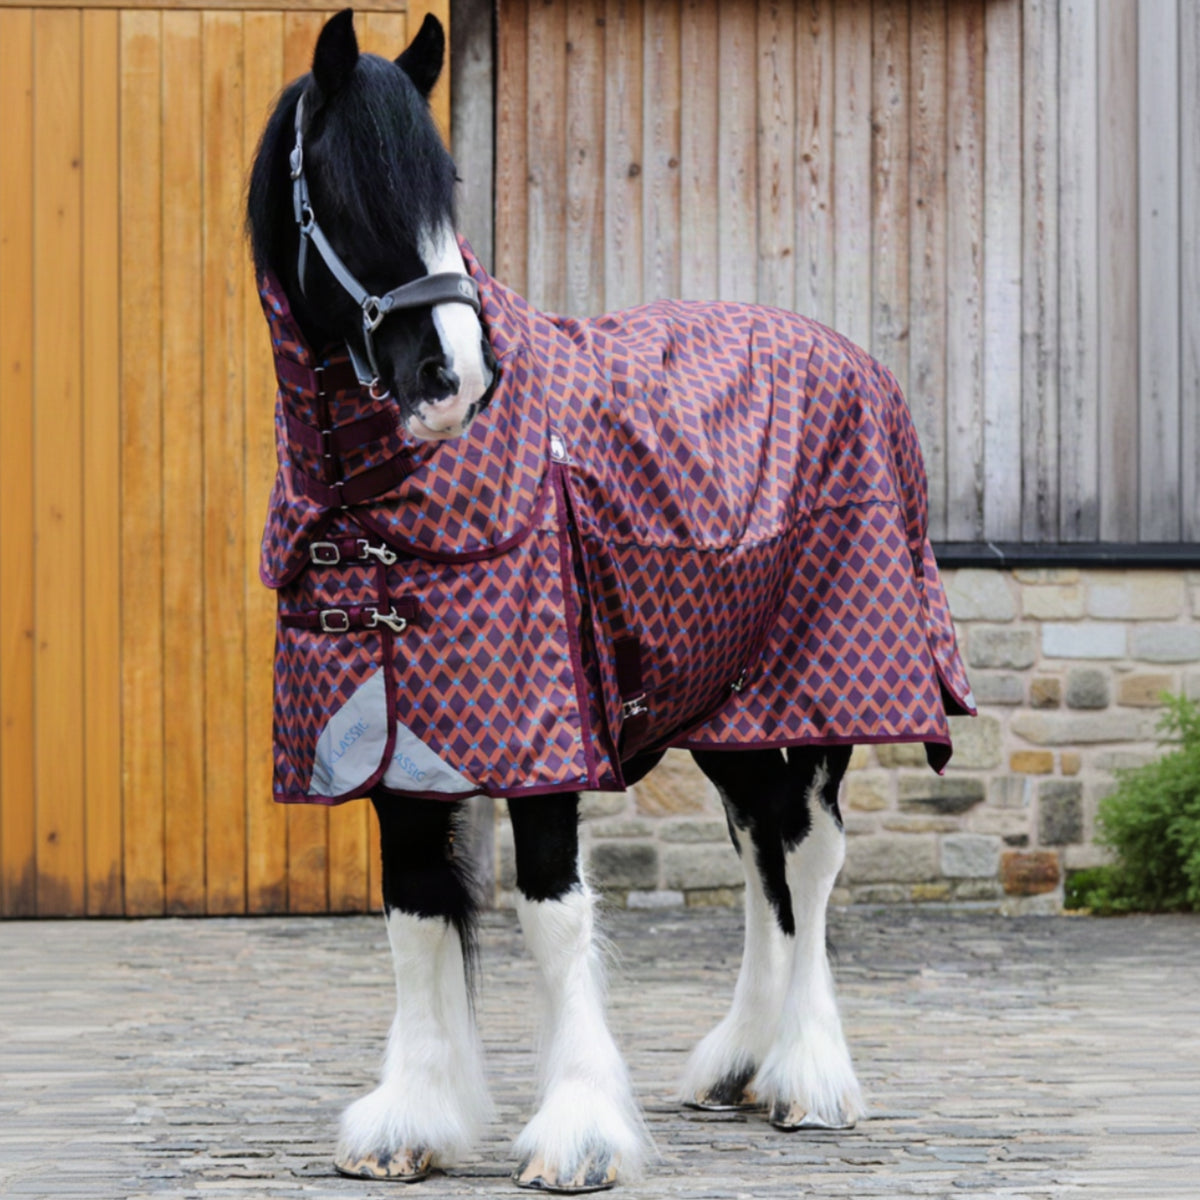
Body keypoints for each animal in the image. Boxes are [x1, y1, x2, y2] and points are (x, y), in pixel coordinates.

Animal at [246, 10, 973, 1192]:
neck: (392, 517)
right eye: (347, 191)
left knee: (809, 857)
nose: (454, 378)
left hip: (830, 692)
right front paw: (413, 1118)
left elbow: (553, 914)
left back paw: (809, 1078)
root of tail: (848, 356)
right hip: (727, 713)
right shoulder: (391, 751)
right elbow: (415, 911)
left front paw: (580, 1130)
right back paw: (741, 1065)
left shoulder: (549, 742)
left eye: (446, 189)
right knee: (760, 850)